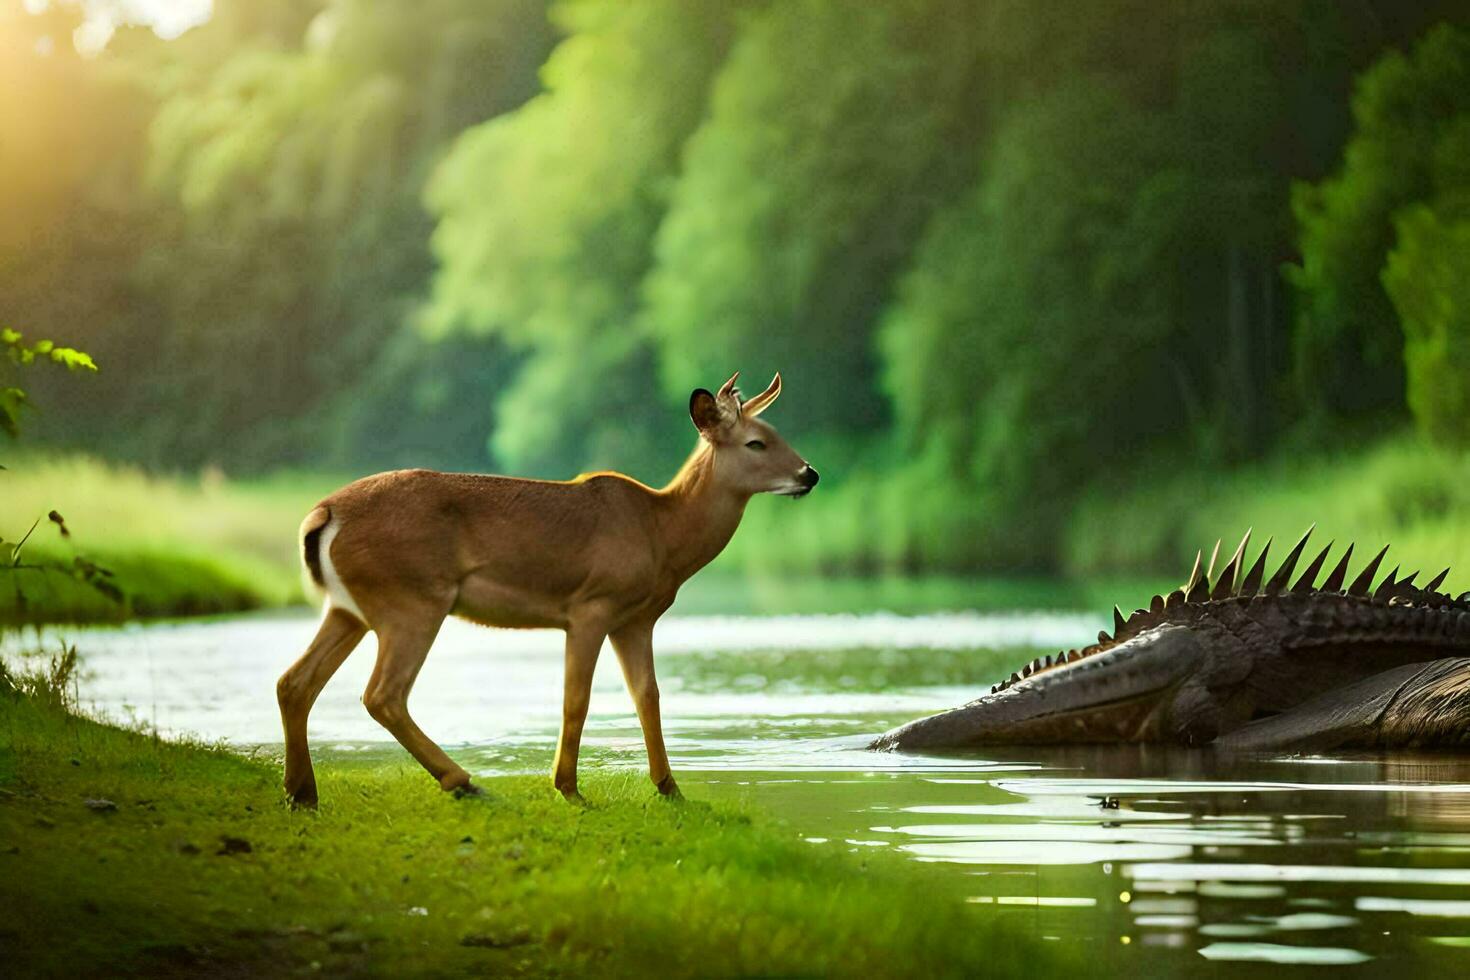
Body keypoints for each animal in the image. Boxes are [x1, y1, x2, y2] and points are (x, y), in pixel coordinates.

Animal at [276, 371, 817, 811]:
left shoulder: (636, 619)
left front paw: (670, 788)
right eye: (756, 443)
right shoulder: (591, 606)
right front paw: (568, 788)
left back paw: (302, 792)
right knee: (382, 694)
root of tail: (323, 513)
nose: (809, 473)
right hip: (413, 599)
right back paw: (461, 780)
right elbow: (576, 698)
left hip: (350, 608)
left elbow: (648, 695)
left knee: (294, 682)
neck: (663, 534)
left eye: (778, 434)